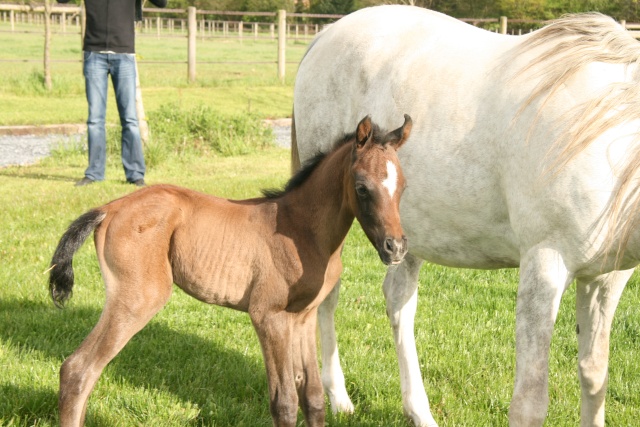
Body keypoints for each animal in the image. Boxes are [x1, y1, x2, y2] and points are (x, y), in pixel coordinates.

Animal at [48, 114, 410, 427]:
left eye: (403, 186)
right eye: (362, 187)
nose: (395, 247)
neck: (302, 228)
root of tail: (108, 209)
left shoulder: (303, 317)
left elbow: (313, 397)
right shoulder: (268, 316)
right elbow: (284, 402)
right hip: (139, 297)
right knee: (78, 370)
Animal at [292, 6, 640, 427]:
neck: (607, 139)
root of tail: (322, 37)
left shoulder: (607, 279)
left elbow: (594, 375)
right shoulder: (545, 265)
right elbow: (530, 403)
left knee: (399, 301)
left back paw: (419, 411)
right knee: (328, 296)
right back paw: (338, 396)